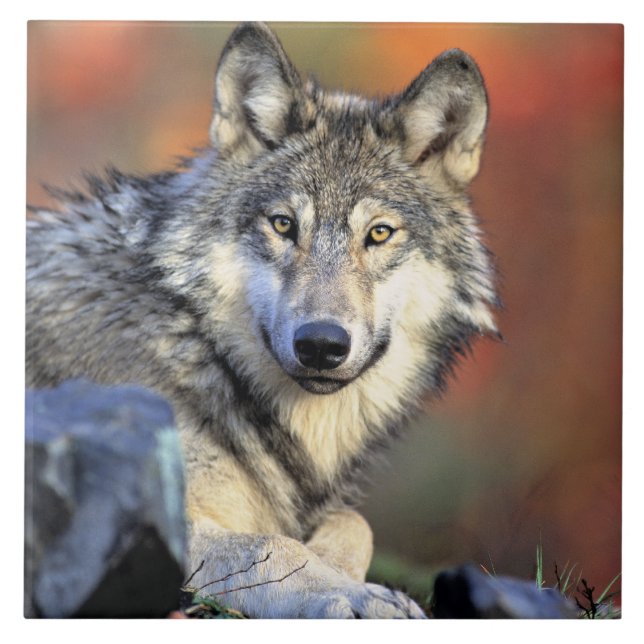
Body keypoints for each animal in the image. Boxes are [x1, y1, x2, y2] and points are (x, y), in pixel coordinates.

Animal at [26, 22, 498, 618]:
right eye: (283, 225)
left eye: (379, 233)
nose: (321, 344)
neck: (198, 349)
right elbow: (272, 547)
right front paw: (352, 594)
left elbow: (354, 522)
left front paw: (343, 570)